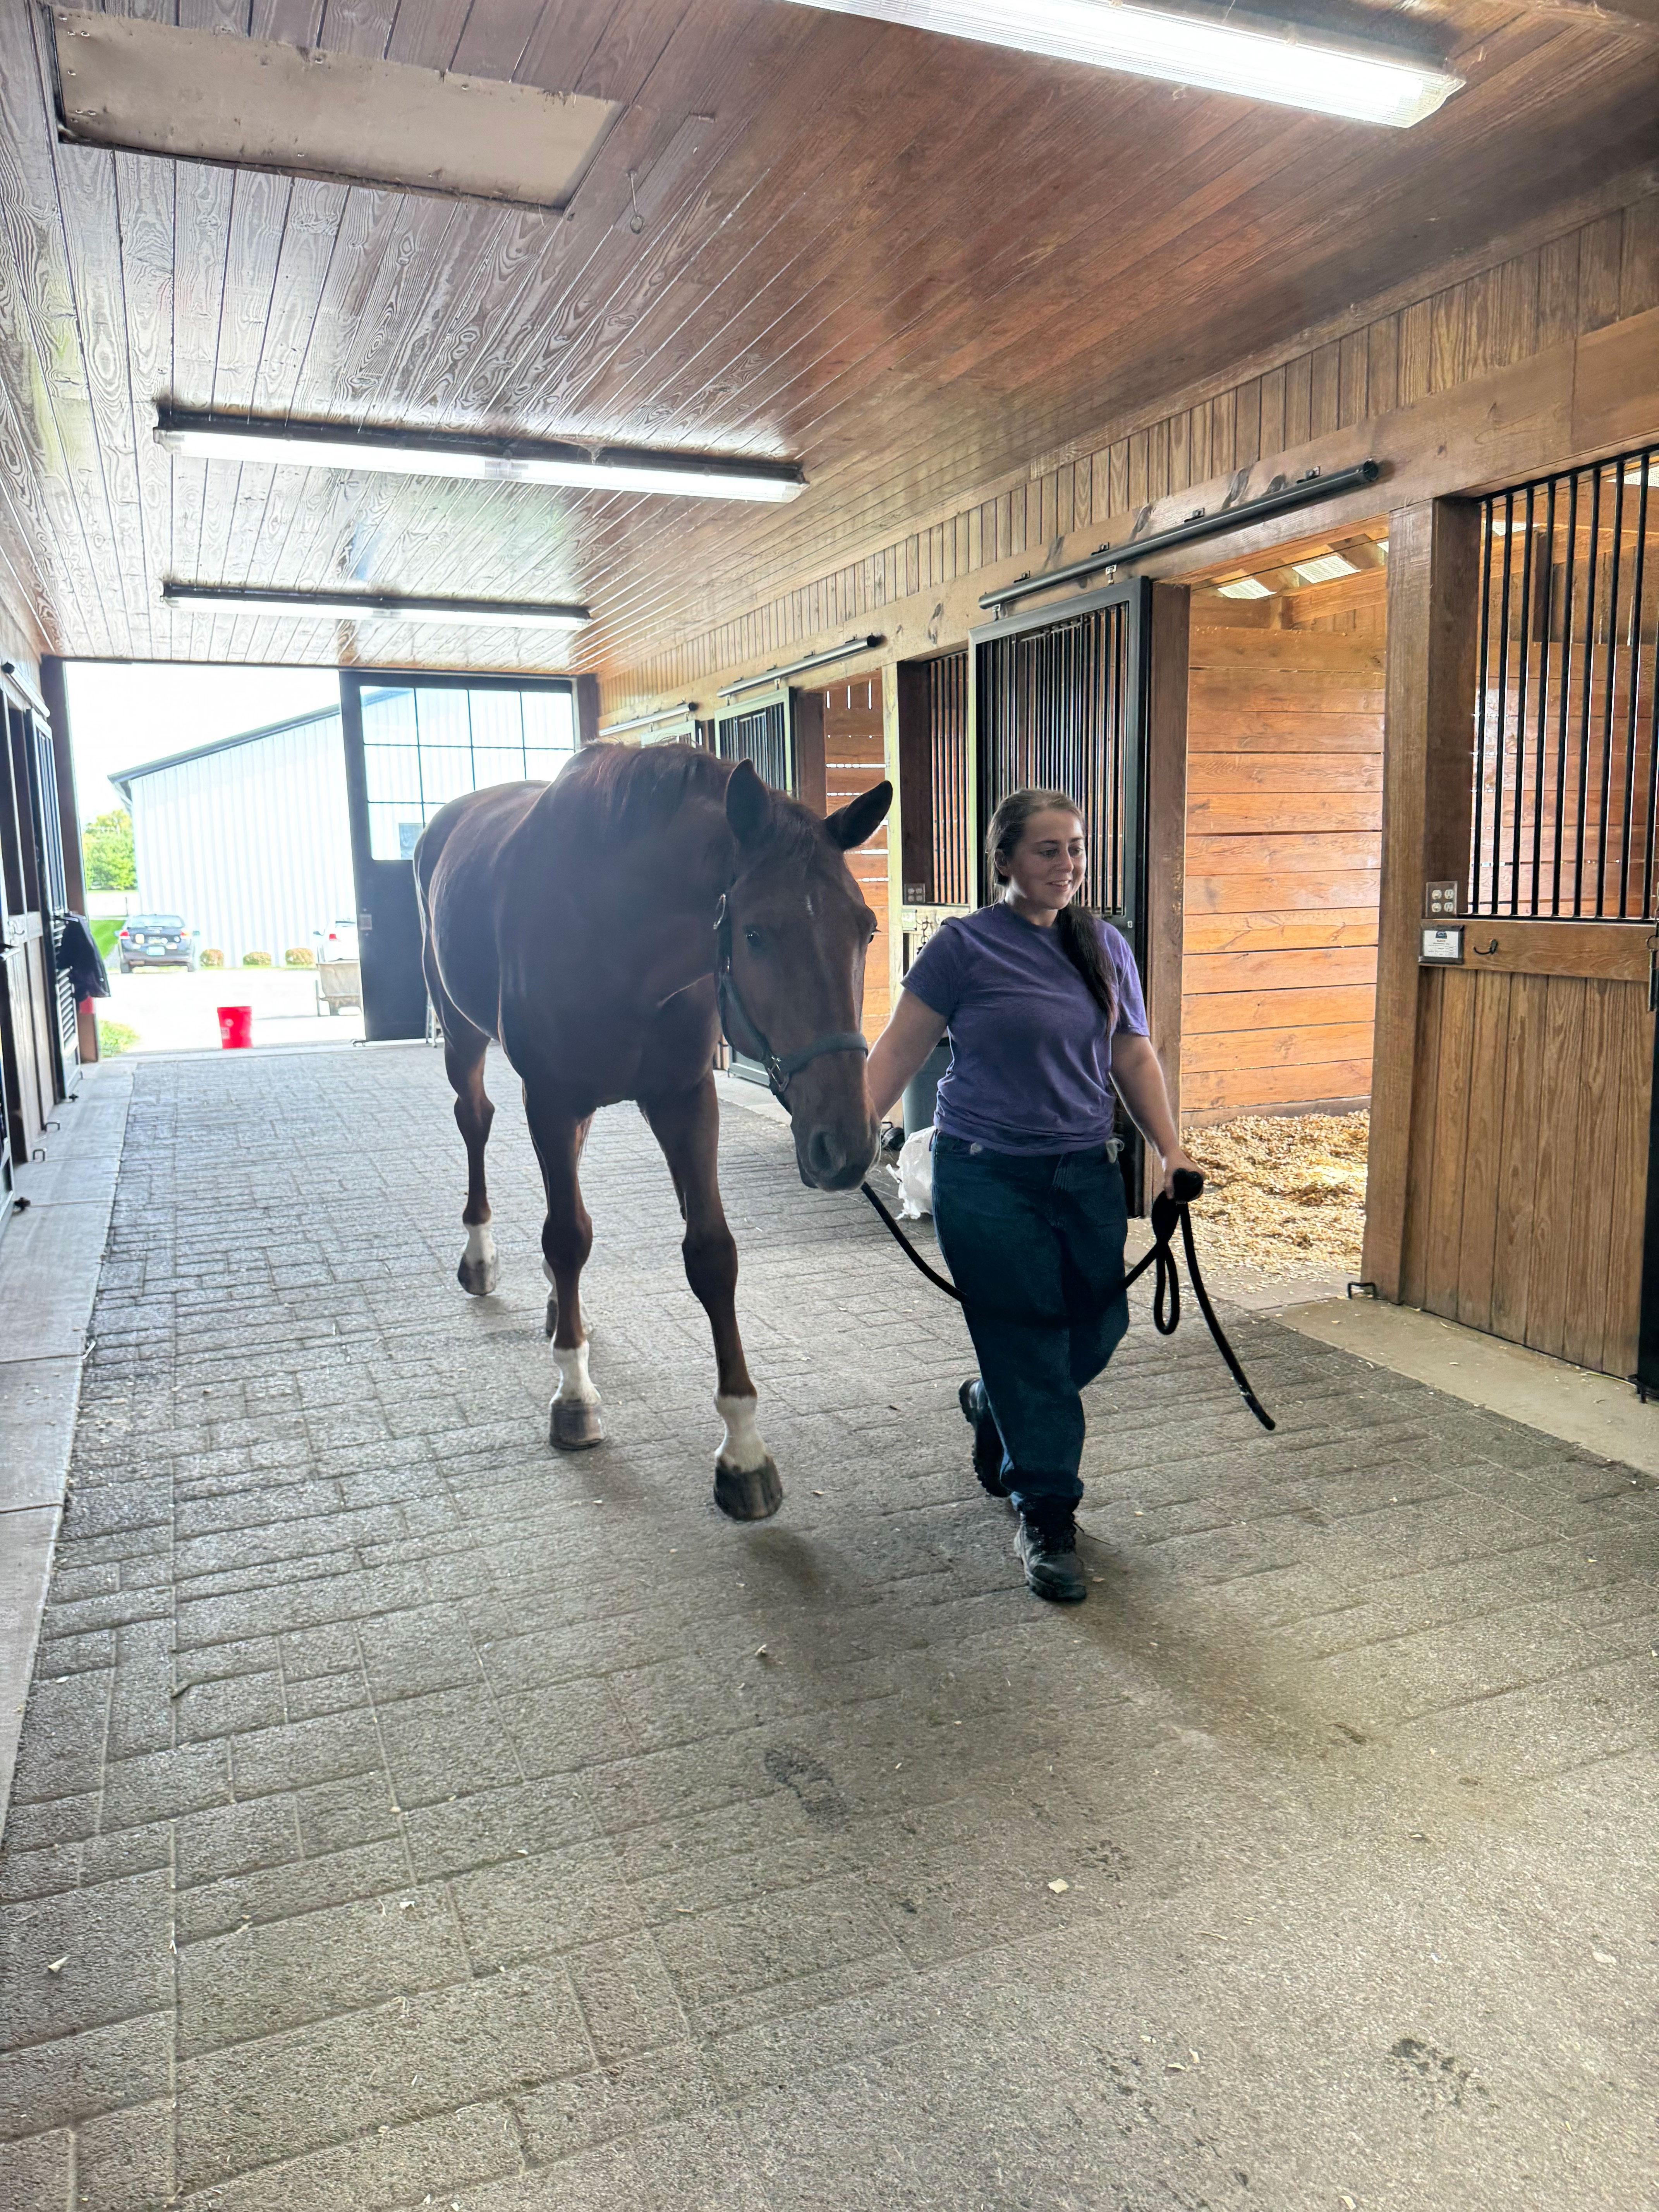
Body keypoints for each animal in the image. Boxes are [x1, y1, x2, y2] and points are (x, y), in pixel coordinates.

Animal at [414, 741, 893, 1521]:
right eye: (754, 933)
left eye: (866, 928)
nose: (845, 1145)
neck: (616, 931)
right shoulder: (549, 1097)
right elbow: (567, 1236)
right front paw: (574, 1396)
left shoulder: (684, 1100)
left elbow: (711, 1255)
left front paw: (743, 1452)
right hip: (462, 1035)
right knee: (476, 1124)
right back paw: (483, 1260)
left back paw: (560, 1308)